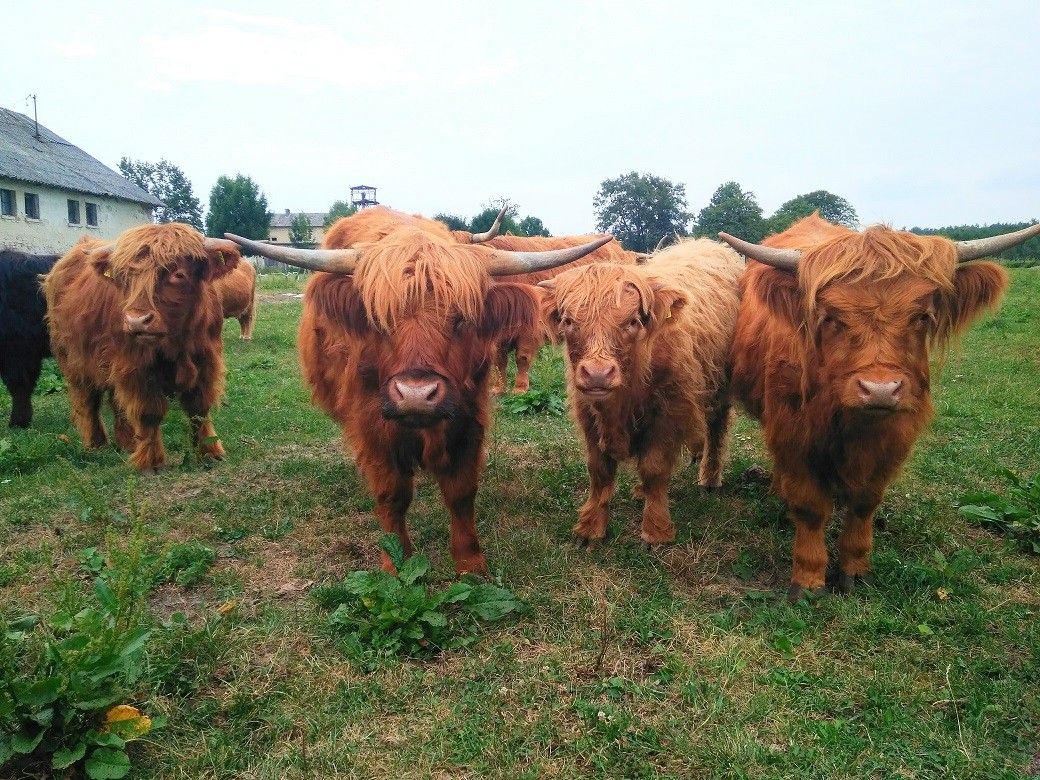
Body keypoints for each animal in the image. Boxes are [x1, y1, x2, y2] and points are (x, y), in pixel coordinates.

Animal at [43, 223, 242, 473]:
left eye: (178, 274)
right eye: (123, 278)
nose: (136, 321)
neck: (176, 341)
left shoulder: (206, 360)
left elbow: (199, 408)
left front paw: (210, 452)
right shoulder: (135, 366)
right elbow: (149, 412)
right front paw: (151, 462)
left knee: (116, 401)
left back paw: (127, 442)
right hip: (74, 360)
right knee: (88, 401)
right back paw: (96, 445)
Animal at [224, 223, 612, 575]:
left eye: (461, 319)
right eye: (378, 319)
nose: (415, 395)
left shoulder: (467, 420)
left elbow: (461, 492)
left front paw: (470, 564)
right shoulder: (374, 428)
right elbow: (392, 496)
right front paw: (395, 563)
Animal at [537, 239, 744, 548]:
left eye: (632, 321)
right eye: (569, 320)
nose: (597, 374)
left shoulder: (670, 410)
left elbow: (654, 467)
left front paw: (655, 531)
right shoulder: (587, 412)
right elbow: (599, 470)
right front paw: (590, 529)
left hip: (721, 385)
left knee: (716, 425)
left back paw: (709, 480)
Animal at [720, 214, 1040, 601]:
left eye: (922, 316)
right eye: (831, 317)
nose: (880, 390)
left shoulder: (893, 440)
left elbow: (864, 503)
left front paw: (855, 569)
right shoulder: (791, 431)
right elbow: (810, 508)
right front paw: (809, 579)